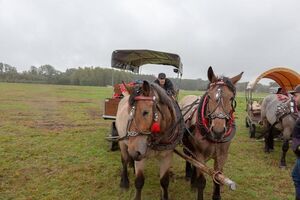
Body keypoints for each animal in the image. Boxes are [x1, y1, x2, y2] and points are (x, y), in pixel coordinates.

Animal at [179, 67, 243, 200]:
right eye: (209, 96)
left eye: (231, 98)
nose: (218, 131)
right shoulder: (200, 155)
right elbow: (201, 181)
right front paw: (196, 184)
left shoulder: (222, 156)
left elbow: (217, 178)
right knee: (188, 157)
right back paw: (189, 176)